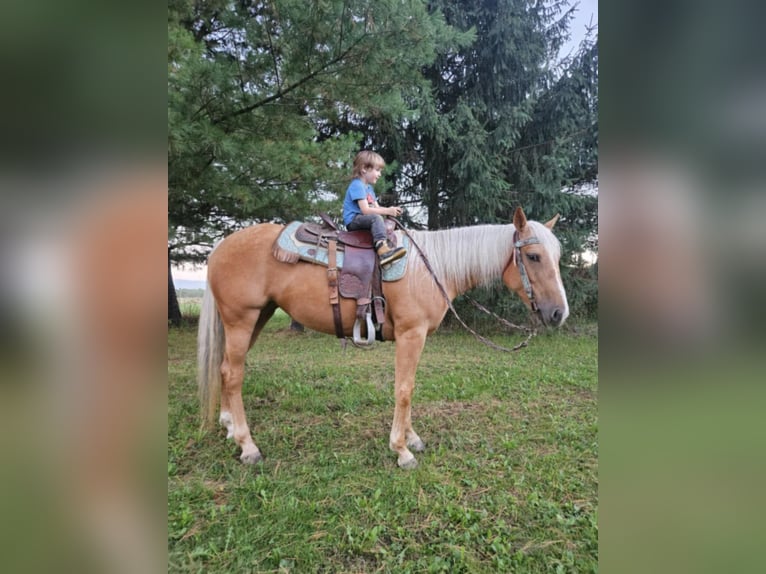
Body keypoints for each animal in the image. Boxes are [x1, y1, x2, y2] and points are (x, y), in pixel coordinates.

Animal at [197, 207, 569, 469]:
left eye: (557, 257)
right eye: (533, 256)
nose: (558, 313)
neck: (430, 268)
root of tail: (220, 247)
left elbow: (410, 387)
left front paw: (411, 438)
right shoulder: (410, 335)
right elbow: (404, 389)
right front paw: (402, 450)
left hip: (255, 318)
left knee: (225, 369)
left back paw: (229, 426)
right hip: (242, 319)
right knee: (233, 374)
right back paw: (248, 446)